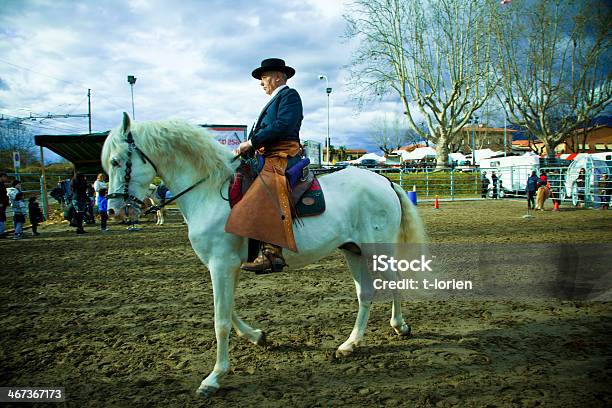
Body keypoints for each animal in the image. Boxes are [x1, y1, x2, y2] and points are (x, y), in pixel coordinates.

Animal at [101, 114, 426, 398]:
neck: (210, 190)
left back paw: (400, 327)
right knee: (365, 293)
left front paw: (214, 378)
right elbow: (228, 310)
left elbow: (220, 320)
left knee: (394, 282)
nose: (114, 210)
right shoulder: (225, 266)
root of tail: (384, 182)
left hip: (376, 250)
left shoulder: (221, 265)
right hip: (353, 251)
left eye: (116, 161)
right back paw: (351, 344)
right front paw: (257, 336)